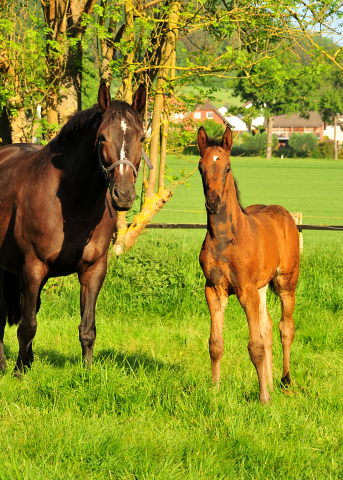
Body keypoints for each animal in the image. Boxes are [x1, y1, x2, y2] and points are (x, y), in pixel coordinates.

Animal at [198, 125, 300, 404]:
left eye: (227, 167)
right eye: (200, 167)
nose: (213, 203)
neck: (225, 239)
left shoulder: (246, 290)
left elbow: (255, 346)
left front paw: (263, 398)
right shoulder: (214, 290)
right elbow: (216, 344)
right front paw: (215, 390)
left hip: (286, 282)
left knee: (285, 327)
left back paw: (284, 380)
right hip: (262, 288)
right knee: (267, 329)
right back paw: (272, 385)